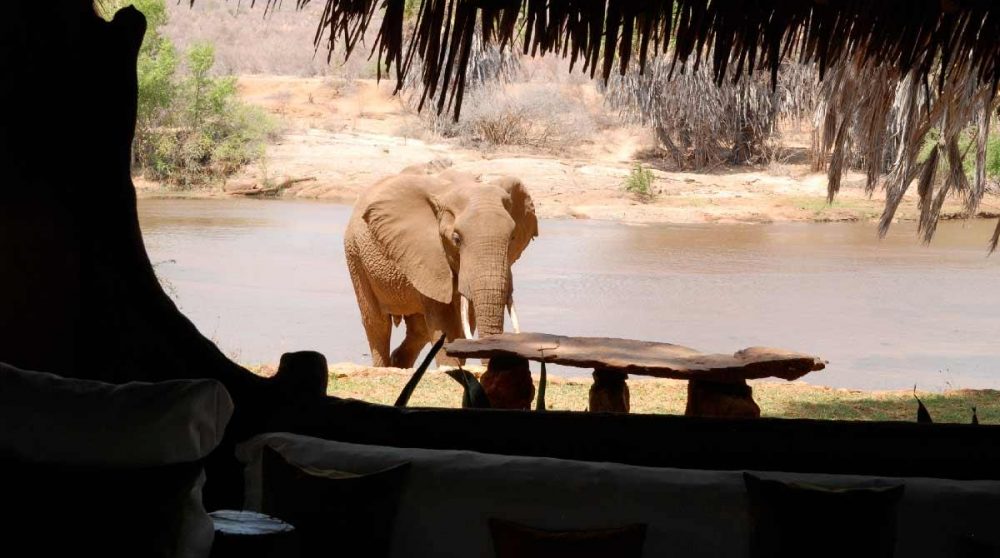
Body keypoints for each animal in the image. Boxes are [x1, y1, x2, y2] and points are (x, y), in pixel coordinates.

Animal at [344, 169, 538, 368]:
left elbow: (465, 320)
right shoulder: (427, 255)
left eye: (513, 237)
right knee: (378, 324)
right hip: (355, 255)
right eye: (456, 239)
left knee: (419, 330)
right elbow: (445, 323)